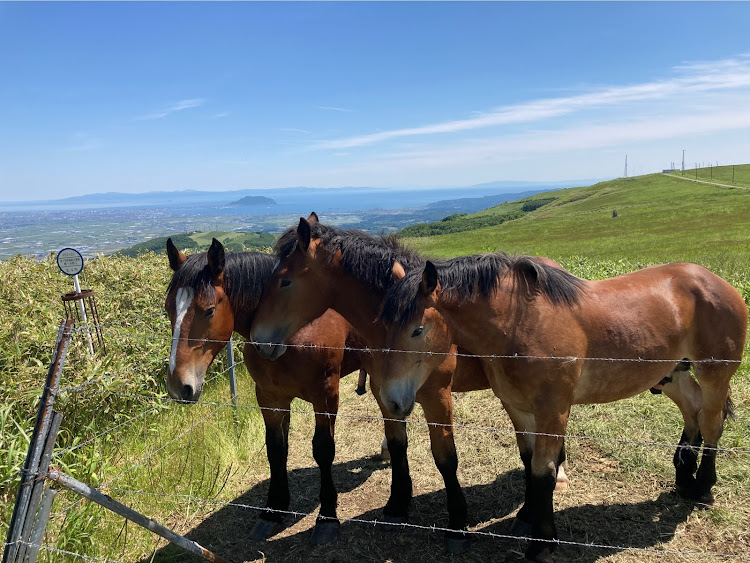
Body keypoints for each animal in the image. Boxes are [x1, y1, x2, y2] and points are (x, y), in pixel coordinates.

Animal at [167, 238, 374, 548]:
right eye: (168, 309)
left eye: (209, 310)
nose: (179, 386)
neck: (292, 332)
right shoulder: (270, 398)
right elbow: (276, 450)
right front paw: (272, 511)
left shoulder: (326, 396)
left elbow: (323, 450)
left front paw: (327, 518)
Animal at [250, 214, 572, 552]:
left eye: (285, 280)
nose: (258, 339)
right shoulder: (384, 392)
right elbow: (397, 444)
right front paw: (397, 504)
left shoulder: (437, 397)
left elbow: (446, 458)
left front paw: (457, 525)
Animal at [384, 256, 748, 563]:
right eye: (383, 327)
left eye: (417, 329)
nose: (391, 400)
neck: (518, 324)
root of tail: (715, 281)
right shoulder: (519, 408)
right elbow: (529, 462)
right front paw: (527, 517)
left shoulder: (553, 410)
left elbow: (544, 470)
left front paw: (542, 543)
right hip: (673, 373)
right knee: (693, 410)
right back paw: (684, 477)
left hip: (715, 375)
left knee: (712, 423)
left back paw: (703, 486)